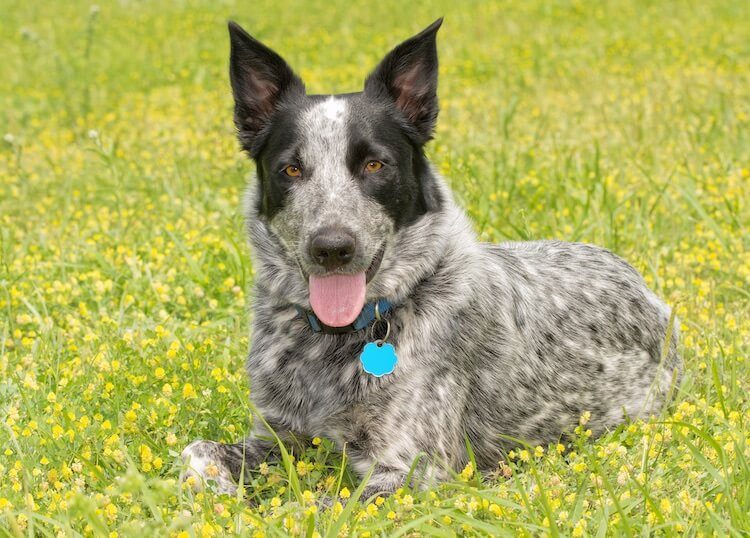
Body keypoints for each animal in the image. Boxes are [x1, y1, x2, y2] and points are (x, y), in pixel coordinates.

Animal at [181, 18, 680, 496]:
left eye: (374, 165)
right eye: (291, 169)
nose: (332, 248)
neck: (338, 337)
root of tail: (644, 287)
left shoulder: (411, 470)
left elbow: (323, 508)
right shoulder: (276, 436)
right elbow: (196, 453)